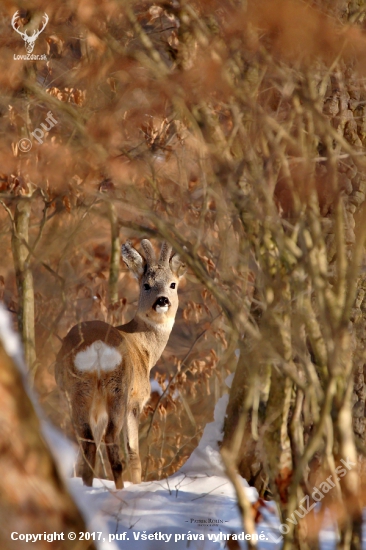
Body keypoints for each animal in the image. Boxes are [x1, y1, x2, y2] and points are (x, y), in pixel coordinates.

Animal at [55, 239, 186, 490]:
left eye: (173, 284)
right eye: (146, 285)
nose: (162, 300)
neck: (144, 349)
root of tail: (97, 347)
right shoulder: (136, 401)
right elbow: (134, 451)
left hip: (77, 389)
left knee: (86, 442)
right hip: (118, 389)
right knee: (111, 441)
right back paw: (119, 489)